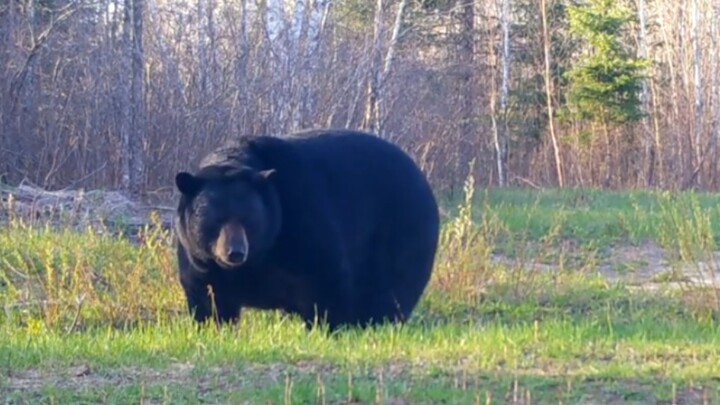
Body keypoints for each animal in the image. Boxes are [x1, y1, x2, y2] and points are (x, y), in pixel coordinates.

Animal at [173, 128, 440, 332]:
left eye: (248, 218)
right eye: (215, 219)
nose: (235, 252)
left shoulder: (301, 215)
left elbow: (324, 274)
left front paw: (330, 325)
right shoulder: (200, 258)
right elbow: (207, 295)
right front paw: (213, 327)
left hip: (400, 227)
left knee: (393, 284)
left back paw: (378, 320)